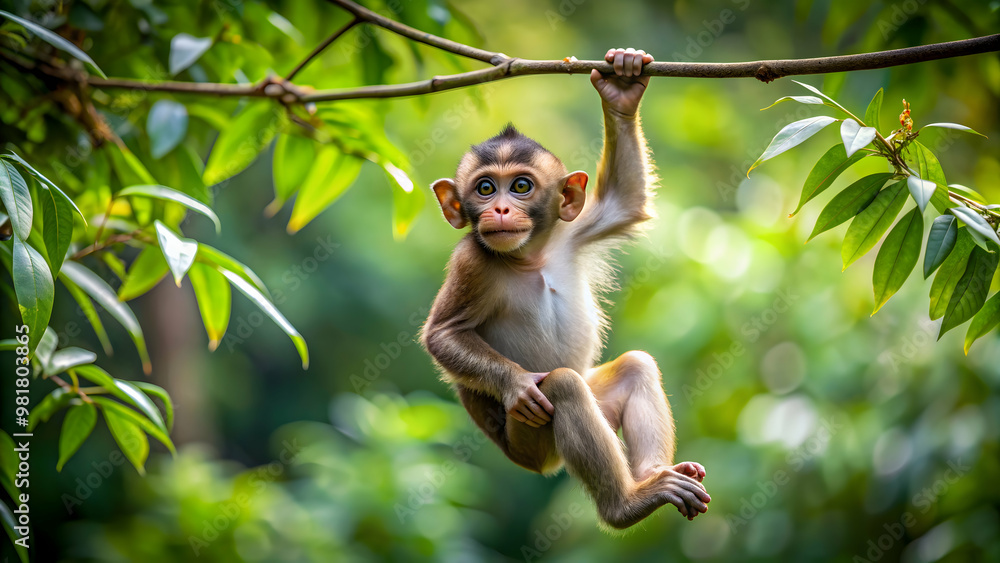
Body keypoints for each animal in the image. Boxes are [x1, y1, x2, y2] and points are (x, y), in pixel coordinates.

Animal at [421, 48, 711, 529]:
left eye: (521, 186)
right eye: (485, 188)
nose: (500, 210)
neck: (529, 258)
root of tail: (544, 466)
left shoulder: (569, 233)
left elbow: (624, 201)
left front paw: (622, 86)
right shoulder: (470, 261)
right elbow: (442, 334)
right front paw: (518, 385)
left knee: (634, 366)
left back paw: (654, 475)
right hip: (534, 441)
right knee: (562, 386)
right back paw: (626, 506)